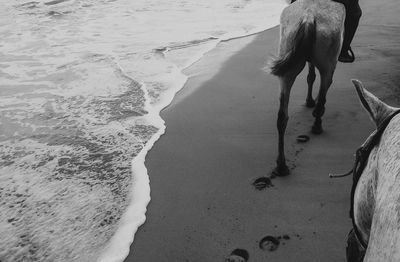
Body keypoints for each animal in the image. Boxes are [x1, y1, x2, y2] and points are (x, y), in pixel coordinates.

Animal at [270, 0, 346, 176]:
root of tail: (309, 17)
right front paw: (313, 102)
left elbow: (310, 76)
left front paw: (309, 100)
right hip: (328, 66)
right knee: (323, 93)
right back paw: (317, 125)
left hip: (287, 68)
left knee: (282, 117)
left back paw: (281, 165)